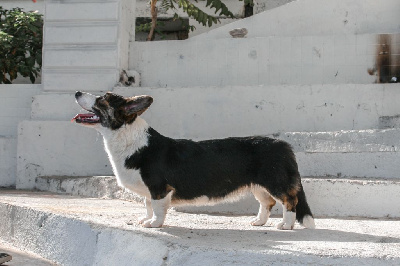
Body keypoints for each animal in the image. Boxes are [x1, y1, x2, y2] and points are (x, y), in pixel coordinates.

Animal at [72, 91, 316, 229]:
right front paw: (145, 220)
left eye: (101, 99)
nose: (76, 92)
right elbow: (148, 205)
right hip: (258, 186)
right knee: (268, 203)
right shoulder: (149, 191)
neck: (127, 138)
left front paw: (154, 225)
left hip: (276, 183)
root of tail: (284, 145)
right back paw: (259, 222)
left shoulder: (159, 188)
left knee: (290, 201)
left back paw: (285, 225)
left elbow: (158, 209)